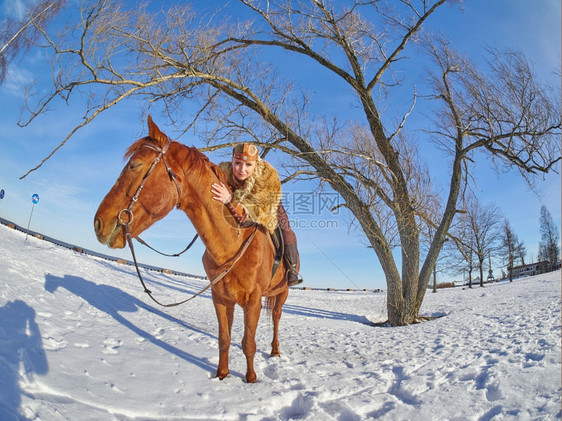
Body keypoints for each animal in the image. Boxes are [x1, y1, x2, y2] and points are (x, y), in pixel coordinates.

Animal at [92, 115, 288, 380]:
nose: (98, 222)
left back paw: (275, 350)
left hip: (282, 293)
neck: (232, 245)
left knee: (276, 318)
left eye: (135, 165)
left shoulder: (253, 302)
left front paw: (250, 379)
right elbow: (224, 339)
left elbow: (249, 344)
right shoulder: (220, 298)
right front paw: (222, 376)